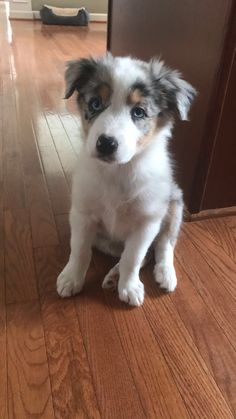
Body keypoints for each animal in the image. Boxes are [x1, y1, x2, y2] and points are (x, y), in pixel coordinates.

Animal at [56, 54, 196, 306]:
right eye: (95, 104)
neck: (118, 171)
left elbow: (134, 256)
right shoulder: (82, 214)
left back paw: (164, 273)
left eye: (139, 112)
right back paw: (113, 275)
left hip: (174, 203)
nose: (106, 143)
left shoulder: (147, 222)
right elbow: (80, 250)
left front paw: (129, 286)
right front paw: (71, 278)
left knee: (163, 246)